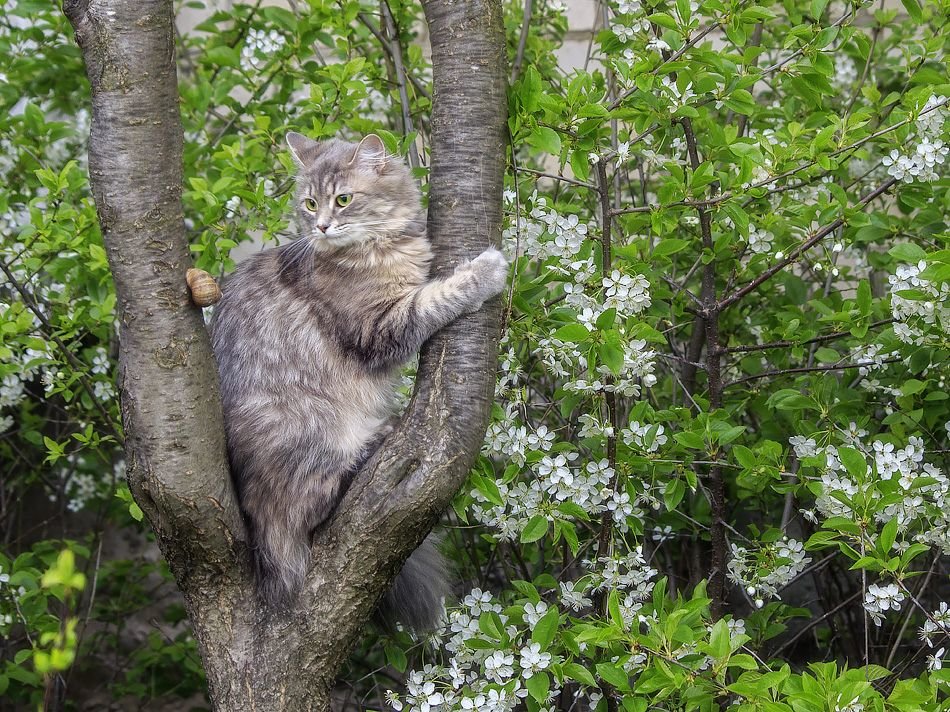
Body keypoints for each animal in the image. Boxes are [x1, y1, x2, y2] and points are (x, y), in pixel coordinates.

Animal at [205, 134, 510, 628]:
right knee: (307, 509)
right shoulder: (378, 329)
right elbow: (435, 297)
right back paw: (372, 444)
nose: (322, 227)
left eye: (343, 199)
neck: (379, 247)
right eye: (311, 204)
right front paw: (487, 270)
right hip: (304, 426)